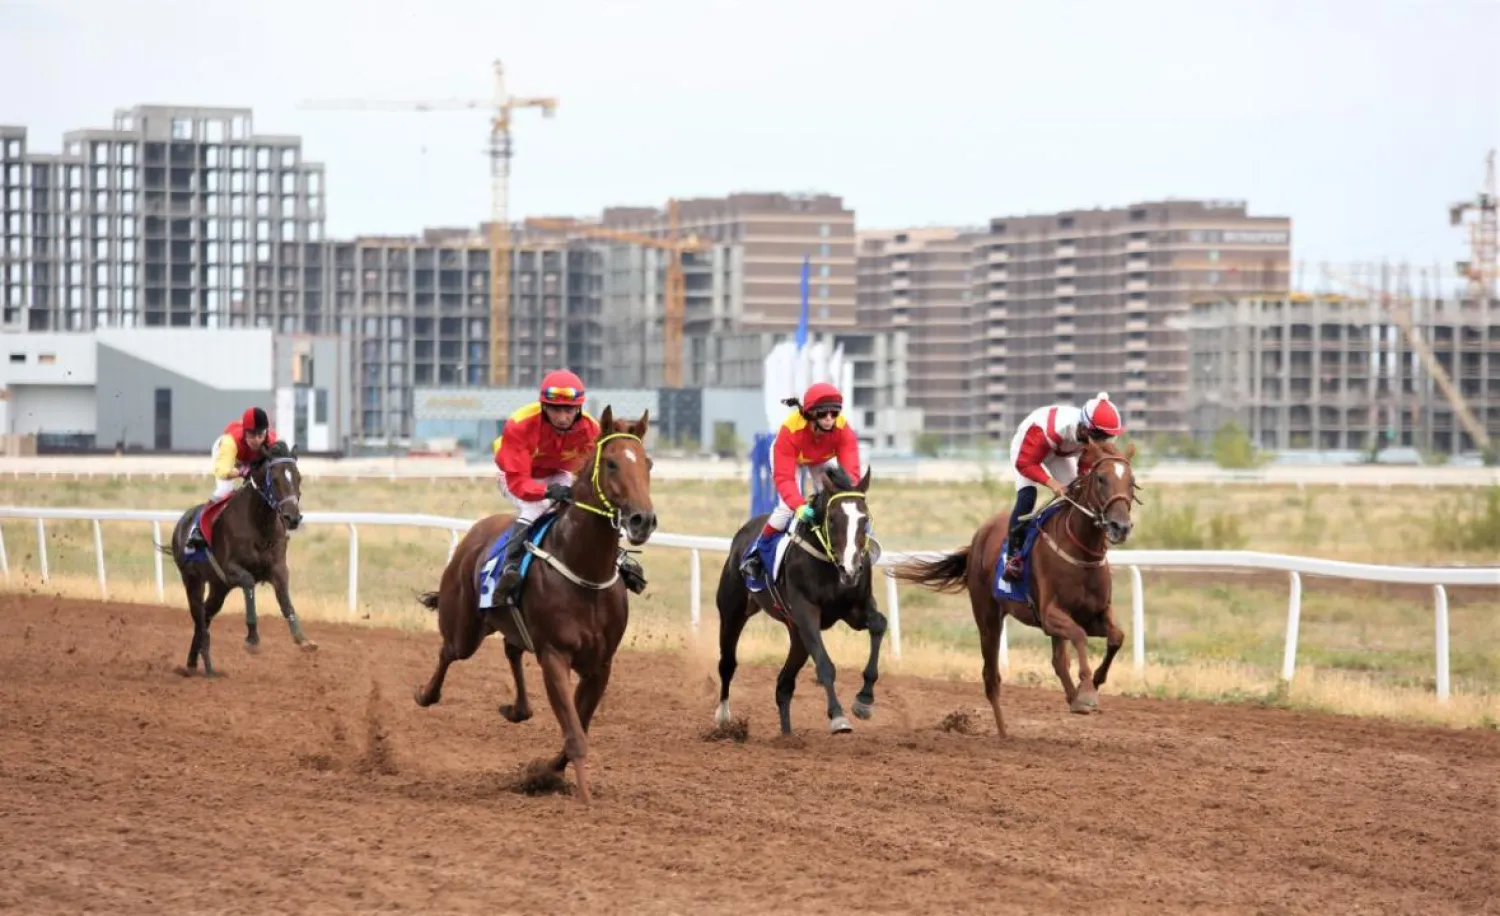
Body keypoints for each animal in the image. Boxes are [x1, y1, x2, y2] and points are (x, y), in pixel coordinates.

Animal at [158, 443, 313, 680]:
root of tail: (182, 522)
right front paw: (252, 639)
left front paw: (302, 639)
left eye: (298, 477)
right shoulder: (230, 570)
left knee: (205, 617)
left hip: (218, 588)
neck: (259, 525)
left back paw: (193, 663)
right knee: (199, 618)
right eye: (275, 478)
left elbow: (286, 601)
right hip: (193, 580)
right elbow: (249, 584)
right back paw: (208, 668)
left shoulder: (277, 569)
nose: (292, 518)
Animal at [417, 407, 663, 803]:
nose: (643, 520)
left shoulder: (600, 665)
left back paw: (518, 709)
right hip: (463, 628)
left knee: (511, 649)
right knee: (448, 652)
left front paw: (544, 774)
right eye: (610, 463)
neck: (585, 570)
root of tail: (475, 534)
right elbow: (575, 735)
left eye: (648, 463)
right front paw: (585, 799)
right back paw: (425, 694)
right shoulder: (554, 656)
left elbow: (577, 727)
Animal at [711, 464, 882, 737]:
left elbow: (879, 625)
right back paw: (724, 717)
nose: (851, 569)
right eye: (832, 519)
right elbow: (825, 665)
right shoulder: (806, 613)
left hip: (796, 634)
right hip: (733, 613)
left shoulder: (855, 609)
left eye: (864, 519)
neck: (829, 564)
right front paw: (838, 716)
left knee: (784, 684)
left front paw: (864, 700)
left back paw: (787, 736)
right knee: (727, 663)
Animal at [894, 440, 1140, 740]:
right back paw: (1003, 733)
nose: (1121, 527)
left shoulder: (1094, 614)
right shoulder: (1050, 615)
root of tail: (978, 537)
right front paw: (1087, 692)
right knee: (991, 677)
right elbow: (1080, 637)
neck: (1081, 551)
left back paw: (1070, 698)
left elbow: (1116, 637)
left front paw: (1094, 682)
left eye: (1132, 482)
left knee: (1058, 660)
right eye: (1102, 479)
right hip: (987, 617)